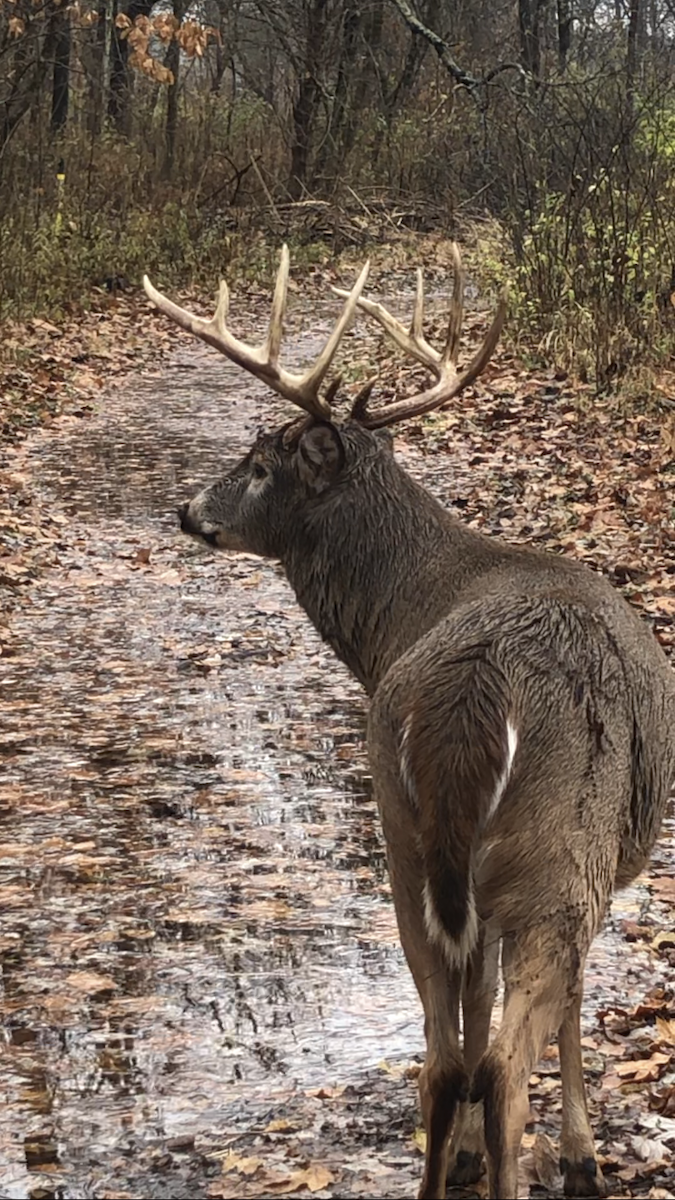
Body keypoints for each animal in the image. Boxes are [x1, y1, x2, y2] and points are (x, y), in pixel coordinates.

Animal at [143, 245, 675, 1200]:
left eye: (259, 464)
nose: (187, 511)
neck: (402, 613)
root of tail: (472, 691)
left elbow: (474, 1010)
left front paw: (467, 1154)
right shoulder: (591, 871)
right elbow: (566, 1006)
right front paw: (581, 1158)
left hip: (406, 839)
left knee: (441, 1057)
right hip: (557, 849)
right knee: (501, 1062)